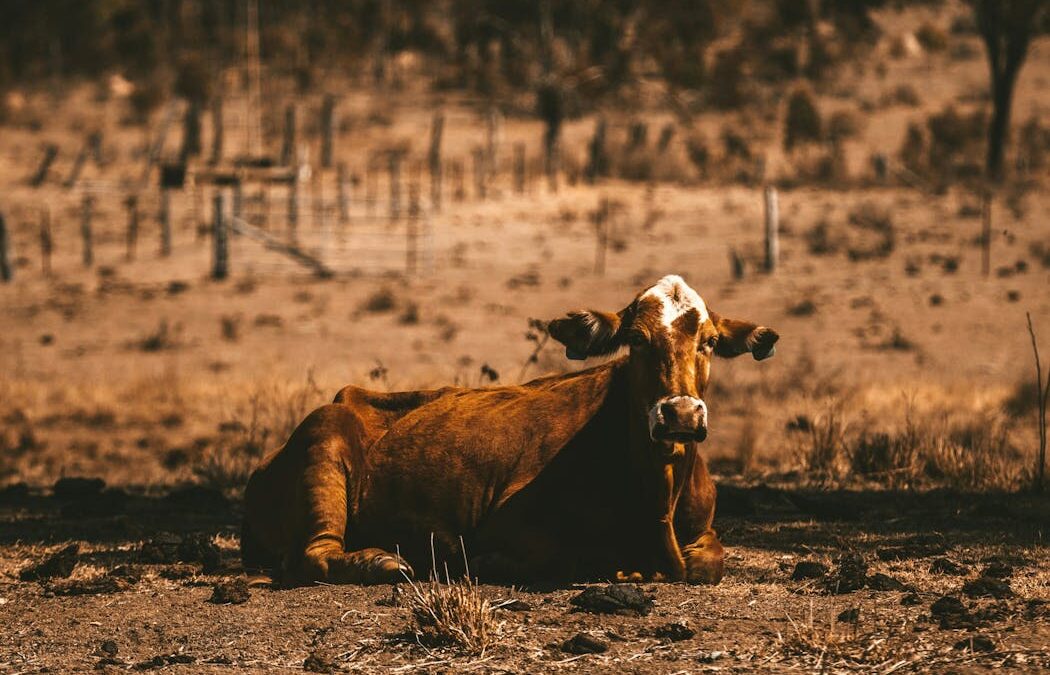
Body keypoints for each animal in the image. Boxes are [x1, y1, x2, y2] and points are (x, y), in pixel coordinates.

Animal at [242, 275, 778, 586]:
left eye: (709, 342)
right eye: (637, 340)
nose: (680, 414)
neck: (657, 490)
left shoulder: (703, 532)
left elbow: (709, 563)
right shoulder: (507, 525)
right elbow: (561, 558)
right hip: (323, 444)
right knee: (314, 555)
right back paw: (382, 562)